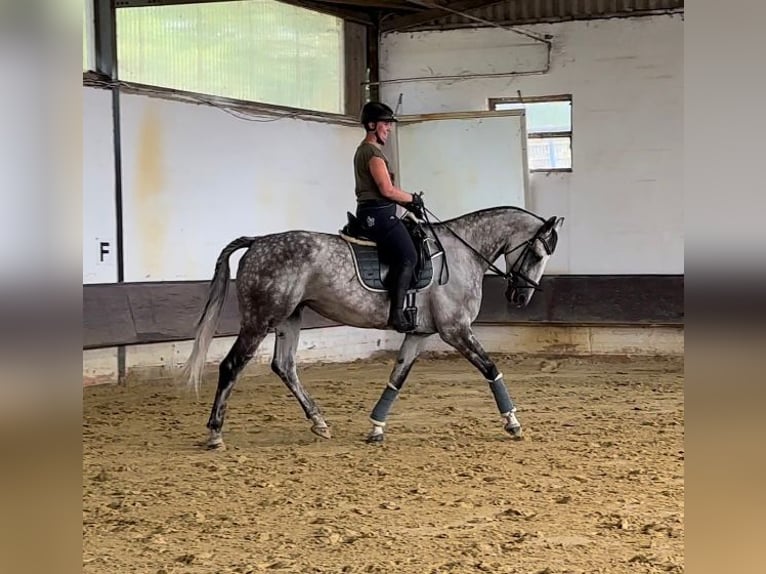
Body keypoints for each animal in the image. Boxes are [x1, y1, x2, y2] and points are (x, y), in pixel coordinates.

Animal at [182, 205, 564, 449]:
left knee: (285, 366)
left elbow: (397, 378)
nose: (520, 296)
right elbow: (490, 368)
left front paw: (376, 428)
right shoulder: (456, 330)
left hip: (290, 317)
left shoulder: (419, 334)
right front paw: (512, 422)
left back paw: (319, 422)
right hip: (260, 319)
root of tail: (258, 241)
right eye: (538, 254)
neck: (461, 253)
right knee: (232, 366)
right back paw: (215, 433)